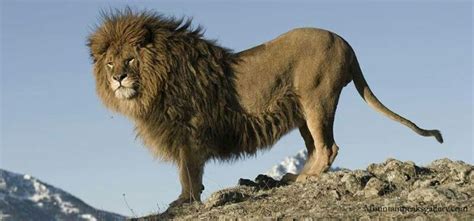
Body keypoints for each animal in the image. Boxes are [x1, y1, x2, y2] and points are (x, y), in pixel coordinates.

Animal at [86, 9, 444, 207]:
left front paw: (184, 203)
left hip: (317, 99)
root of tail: (347, 43)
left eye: (130, 59)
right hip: (302, 111)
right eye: (110, 63)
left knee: (329, 147)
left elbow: (189, 172)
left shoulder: (189, 131)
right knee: (317, 147)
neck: (153, 82)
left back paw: (303, 179)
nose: (118, 78)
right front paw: (184, 199)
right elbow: (187, 174)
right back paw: (292, 176)